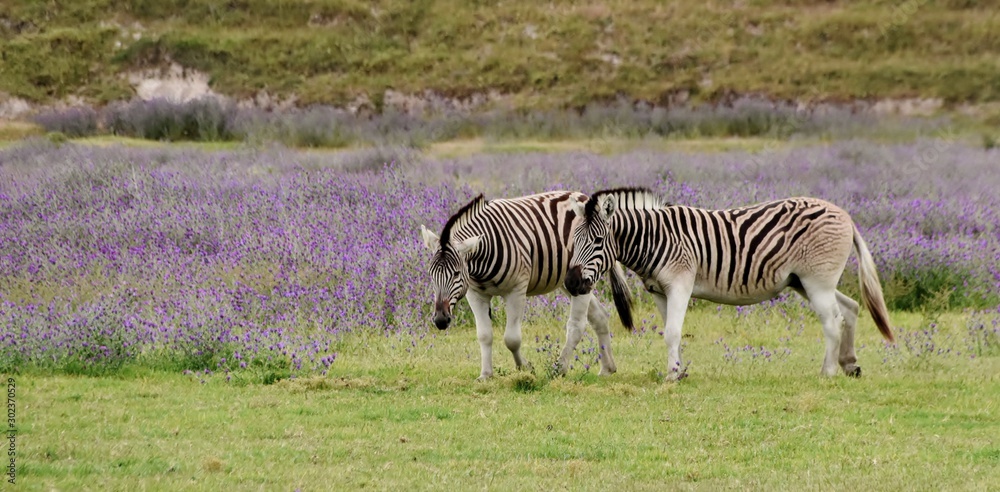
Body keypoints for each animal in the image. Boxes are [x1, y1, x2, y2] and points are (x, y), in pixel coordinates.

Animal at [419, 191, 633, 380]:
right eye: (431, 274)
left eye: (456, 273)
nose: (440, 320)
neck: (481, 260)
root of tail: (582, 196)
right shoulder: (475, 293)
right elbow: (484, 335)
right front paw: (486, 374)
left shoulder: (516, 291)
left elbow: (512, 339)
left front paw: (525, 368)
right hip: (570, 283)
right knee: (600, 316)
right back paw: (607, 368)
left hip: (584, 279)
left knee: (577, 325)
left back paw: (560, 368)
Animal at [564, 187, 894, 380]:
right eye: (572, 241)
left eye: (596, 241)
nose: (570, 283)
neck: (654, 238)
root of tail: (846, 216)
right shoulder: (659, 292)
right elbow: (672, 332)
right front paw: (679, 370)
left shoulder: (681, 284)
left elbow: (671, 332)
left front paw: (672, 375)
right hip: (805, 282)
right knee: (850, 309)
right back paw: (850, 364)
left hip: (817, 282)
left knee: (833, 321)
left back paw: (827, 372)